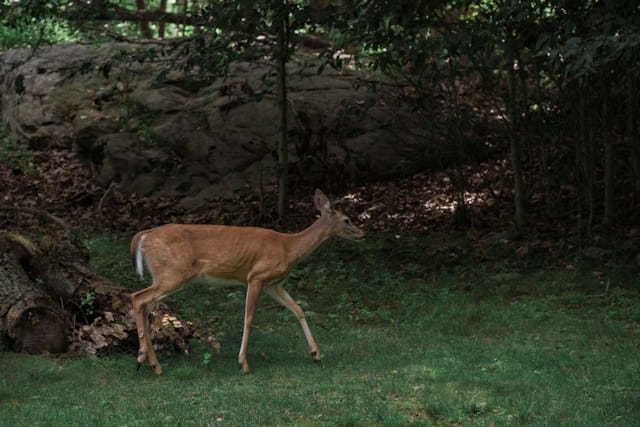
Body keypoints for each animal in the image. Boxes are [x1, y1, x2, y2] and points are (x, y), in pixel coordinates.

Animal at [130, 189, 365, 374]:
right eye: (346, 220)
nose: (362, 234)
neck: (289, 247)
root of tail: (143, 236)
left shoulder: (274, 284)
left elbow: (298, 309)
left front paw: (316, 353)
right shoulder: (256, 276)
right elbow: (249, 319)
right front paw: (243, 363)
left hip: (164, 275)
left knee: (146, 306)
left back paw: (149, 361)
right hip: (174, 273)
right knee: (137, 298)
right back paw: (145, 359)